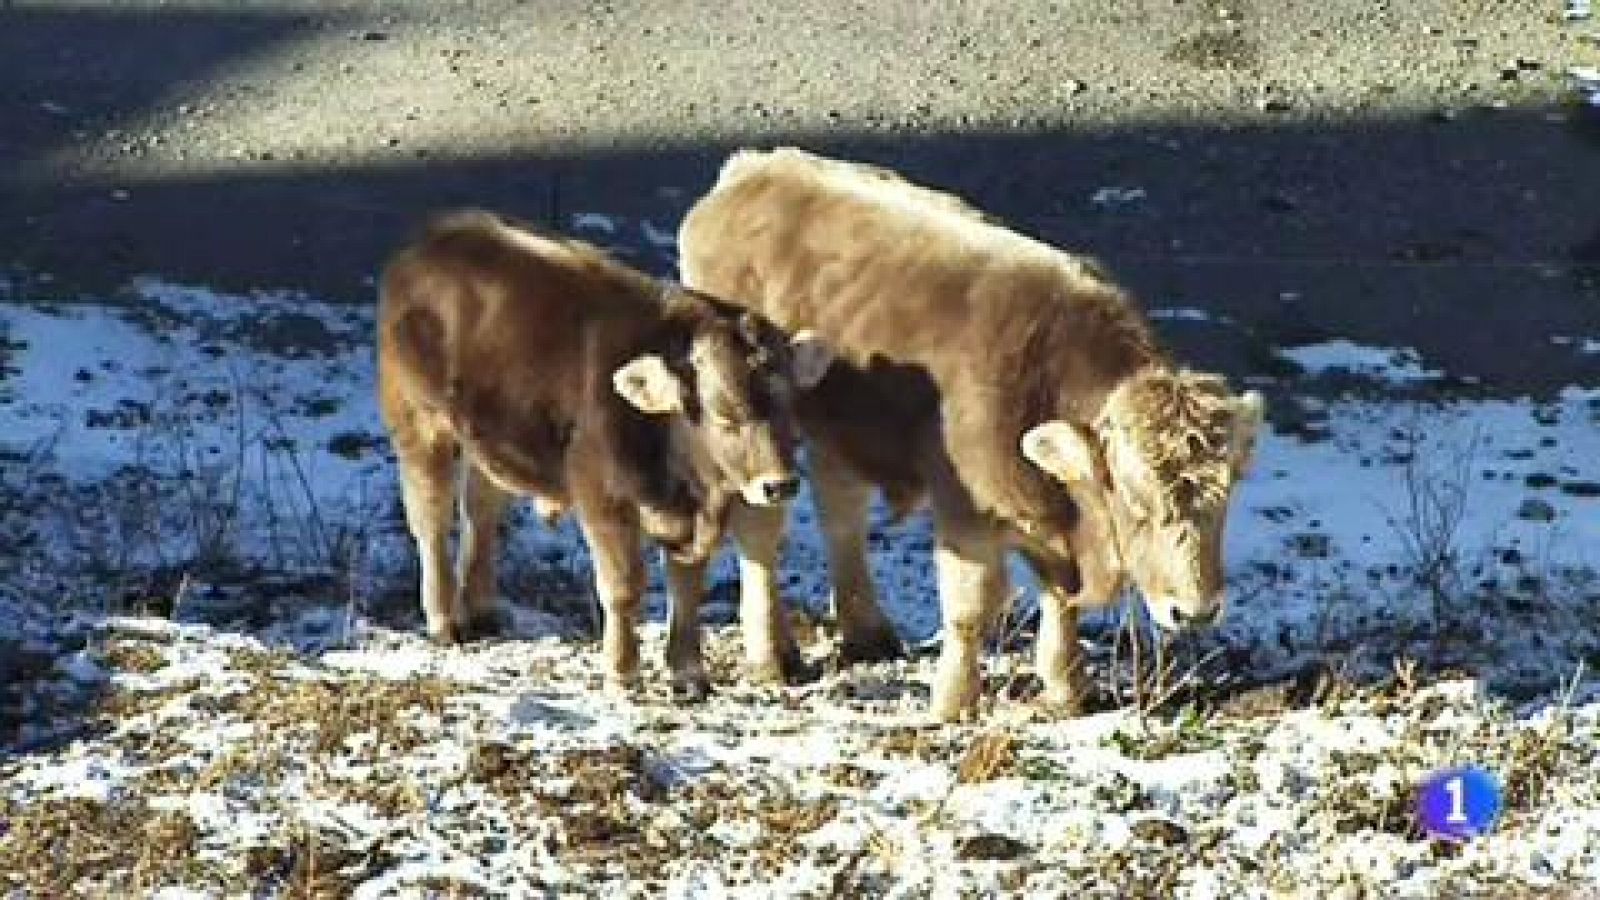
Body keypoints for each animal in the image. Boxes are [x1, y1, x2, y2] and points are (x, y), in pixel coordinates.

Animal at [372, 209, 825, 695]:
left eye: (790, 409)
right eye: (724, 416)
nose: (780, 485)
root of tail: (436, 238)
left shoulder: (685, 520)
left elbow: (687, 587)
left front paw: (687, 673)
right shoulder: (604, 501)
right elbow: (624, 586)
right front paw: (622, 671)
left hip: (489, 444)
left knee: (482, 510)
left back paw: (482, 609)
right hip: (421, 428)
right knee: (431, 521)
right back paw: (444, 620)